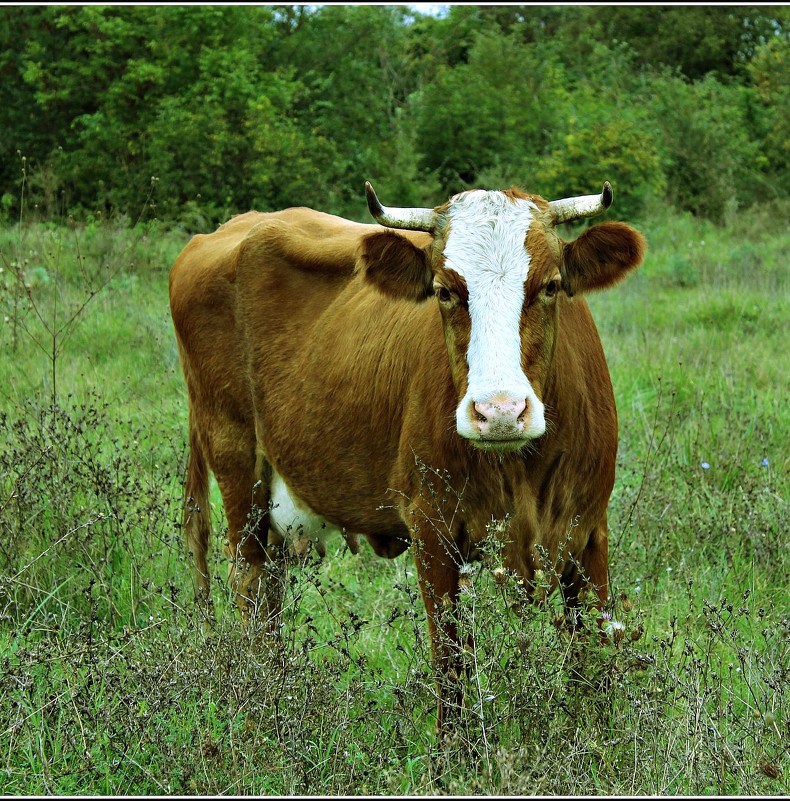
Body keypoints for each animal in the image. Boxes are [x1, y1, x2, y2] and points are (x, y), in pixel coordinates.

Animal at [170, 181, 648, 732]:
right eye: (444, 290)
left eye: (550, 286)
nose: (500, 411)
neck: (520, 469)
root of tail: (227, 231)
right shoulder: (432, 528)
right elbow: (452, 664)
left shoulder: (589, 528)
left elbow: (592, 655)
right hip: (235, 462)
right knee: (248, 584)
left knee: (268, 592)